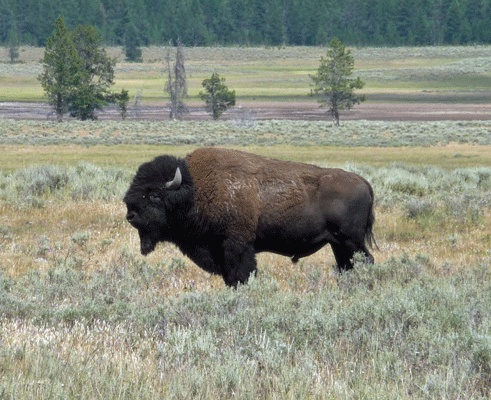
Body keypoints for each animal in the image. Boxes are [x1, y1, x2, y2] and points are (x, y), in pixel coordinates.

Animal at [123, 148, 376, 286]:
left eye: (154, 194)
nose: (130, 214)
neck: (195, 191)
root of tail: (364, 182)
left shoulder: (237, 246)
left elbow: (240, 275)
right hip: (338, 245)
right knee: (346, 266)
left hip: (351, 242)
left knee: (366, 262)